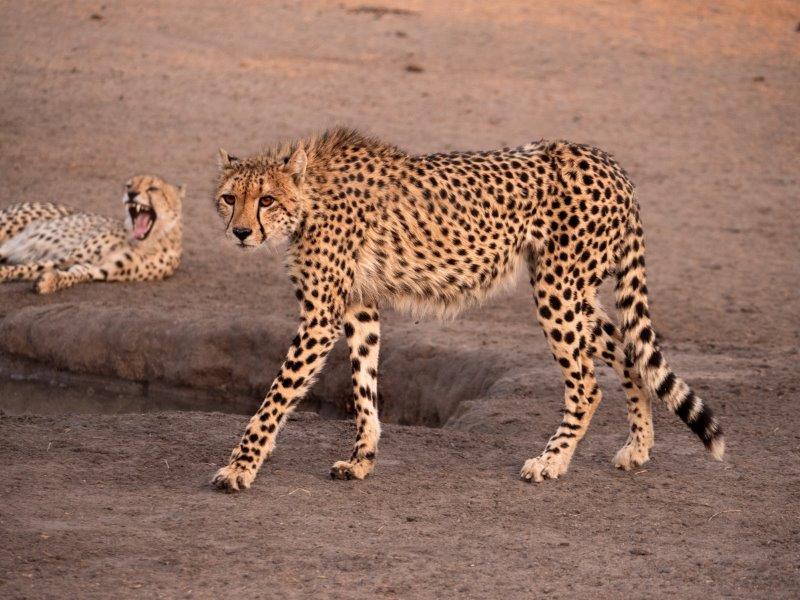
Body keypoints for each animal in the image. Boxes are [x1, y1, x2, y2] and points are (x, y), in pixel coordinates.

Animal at [0, 175, 184, 294]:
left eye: (153, 188)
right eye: (129, 185)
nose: (131, 193)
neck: (144, 242)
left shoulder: (99, 269)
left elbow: (75, 274)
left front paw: (50, 282)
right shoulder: (71, 256)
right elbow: (30, 267)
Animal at [209, 129, 720, 490]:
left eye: (266, 199)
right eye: (229, 198)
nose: (240, 232)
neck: (310, 196)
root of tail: (608, 161)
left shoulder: (321, 317)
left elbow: (276, 397)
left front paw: (240, 467)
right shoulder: (359, 307)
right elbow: (364, 386)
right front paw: (362, 460)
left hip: (558, 289)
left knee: (588, 384)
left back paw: (552, 461)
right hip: (576, 293)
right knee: (632, 354)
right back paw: (637, 449)